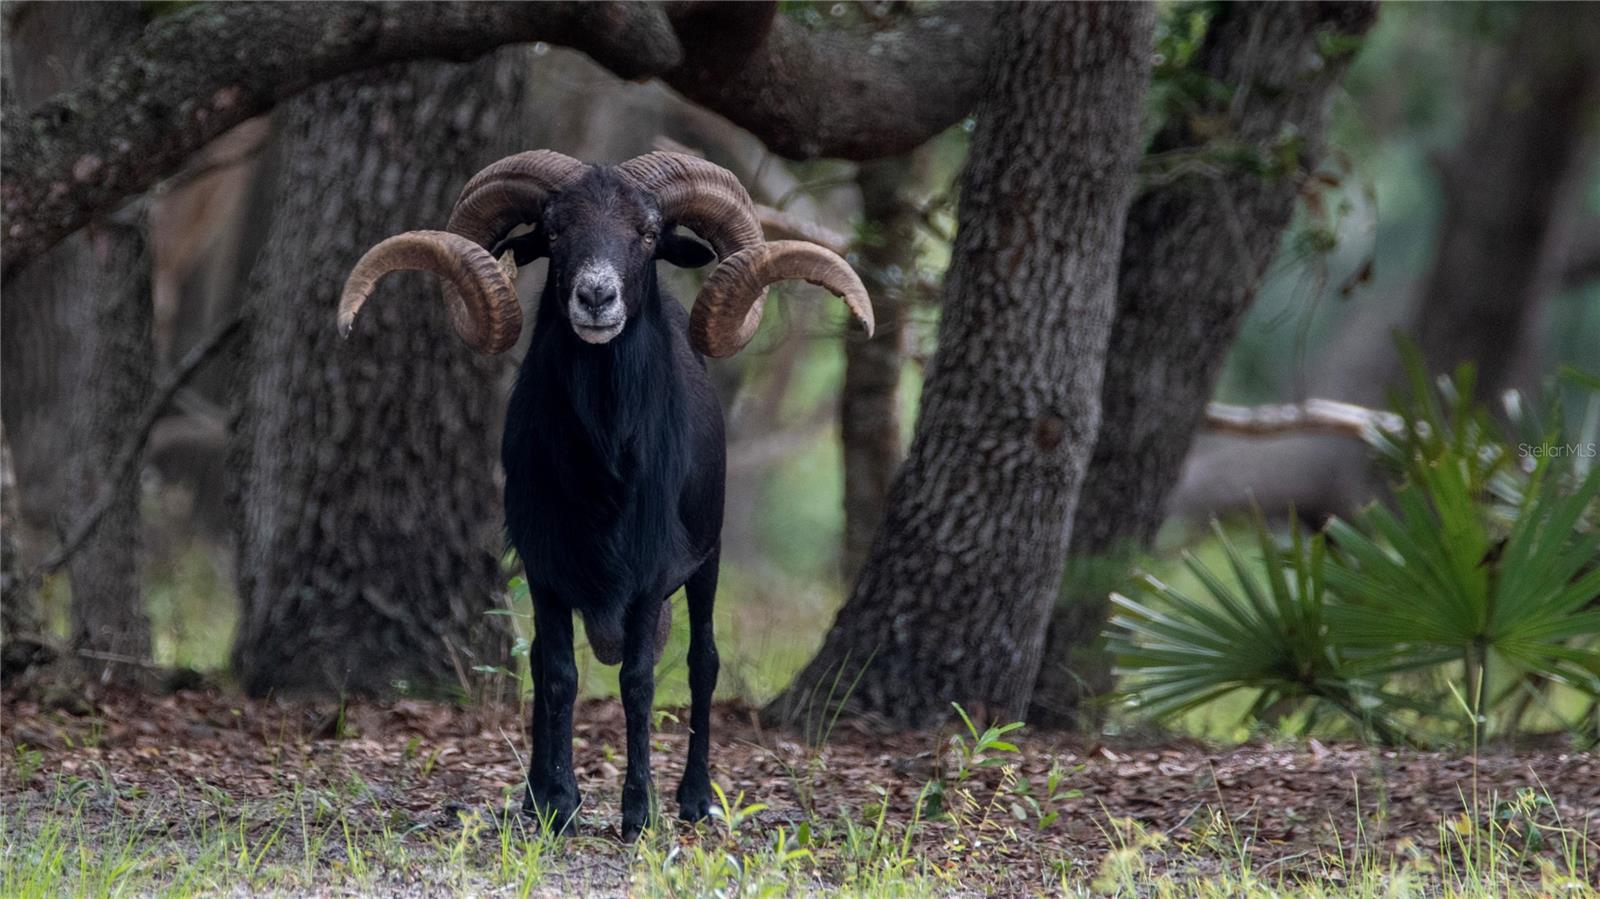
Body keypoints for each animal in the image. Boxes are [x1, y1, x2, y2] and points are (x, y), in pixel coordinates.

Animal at [336, 151, 872, 840]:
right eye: (555, 230)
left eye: (647, 233)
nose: (595, 296)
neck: (603, 465)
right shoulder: (545, 570)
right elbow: (557, 675)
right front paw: (555, 805)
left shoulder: (648, 577)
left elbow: (640, 682)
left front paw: (638, 813)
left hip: (708, 566)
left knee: (702, 663)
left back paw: (694, 800)